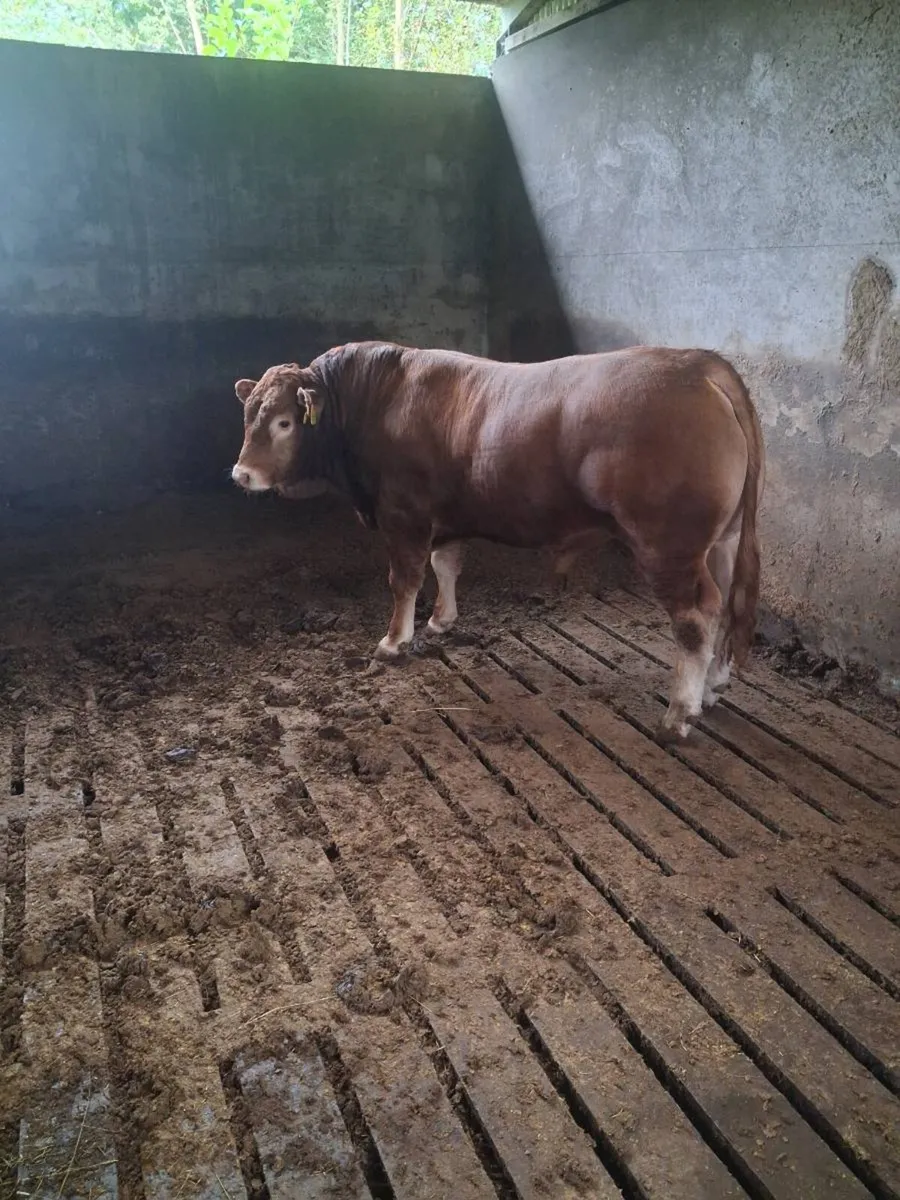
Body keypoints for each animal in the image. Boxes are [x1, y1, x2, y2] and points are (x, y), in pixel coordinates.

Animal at [231, 341, 764, 740]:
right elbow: (445, 565)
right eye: (247, 417)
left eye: (284, 422)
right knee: (726, 606)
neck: (375, 400)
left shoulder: (403, 515)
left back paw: (679, 714)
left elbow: (404, 580)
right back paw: (713, 687)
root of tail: (697, 363)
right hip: (723, 540)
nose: (241, 475)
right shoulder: (443, 516)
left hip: (668, 546)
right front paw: (441, 621)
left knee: (696, 619)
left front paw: (393, 641)